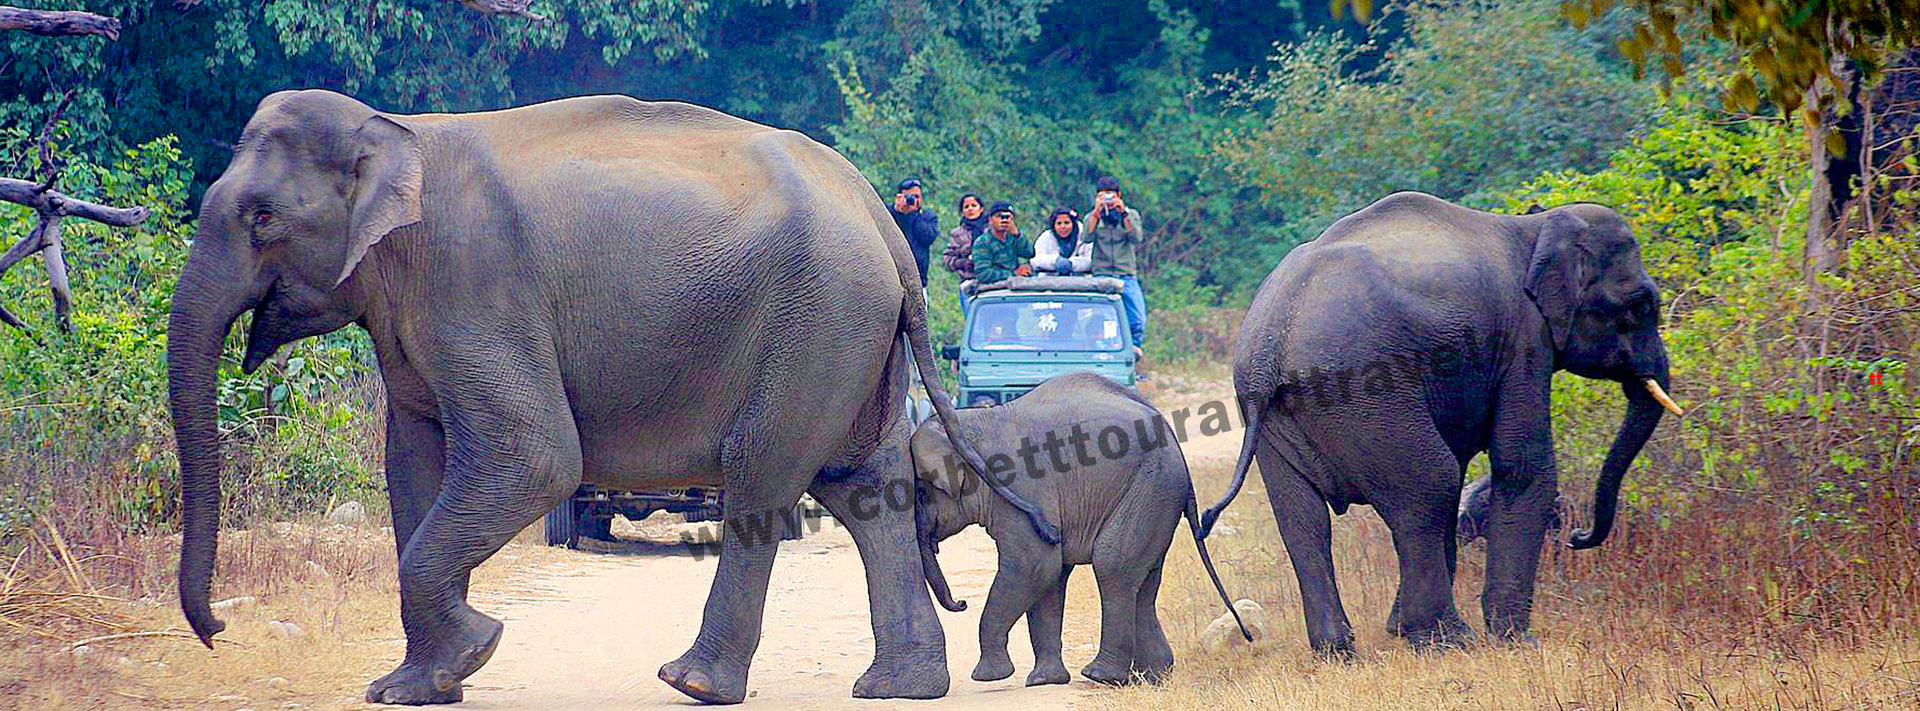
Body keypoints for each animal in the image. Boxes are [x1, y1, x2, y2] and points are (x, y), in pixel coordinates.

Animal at [167, 90, 1059, 707]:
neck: (397, 130)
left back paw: (693, 681)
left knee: (764, 477)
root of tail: (877, 212)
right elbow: (412, 458)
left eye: (262, 218)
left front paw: (476, 649)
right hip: (851, 334)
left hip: (819, 320)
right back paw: (897, 686)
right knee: (864, 488)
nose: (215, 630)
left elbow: (535, 459)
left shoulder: (475, 283)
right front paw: (418, 686)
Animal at [906, 374, 1251, 684]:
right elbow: (1050, 576)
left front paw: (989, 677)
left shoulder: (1023, 486)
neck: (969, 423)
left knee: (1113, 564)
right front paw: (1043, 681)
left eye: (920, 492)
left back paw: (1102, 676)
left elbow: (1034, 565)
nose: (962, 603)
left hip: (1150, 486)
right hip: (1160, 496)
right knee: (1143, 580)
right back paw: (1153, 676)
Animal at [1198, 190, 1681, 657]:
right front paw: (1518, 642)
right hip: (1368, 397)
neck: (1535, 226)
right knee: (1430, 487)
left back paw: (1340, 650)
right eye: (1641, 305)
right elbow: (1522, 467)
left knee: (1303, 518)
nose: (1578, 536)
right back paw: (1447, 641)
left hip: (1274, 414)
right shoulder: (1524, 341)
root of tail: (1272, 341)